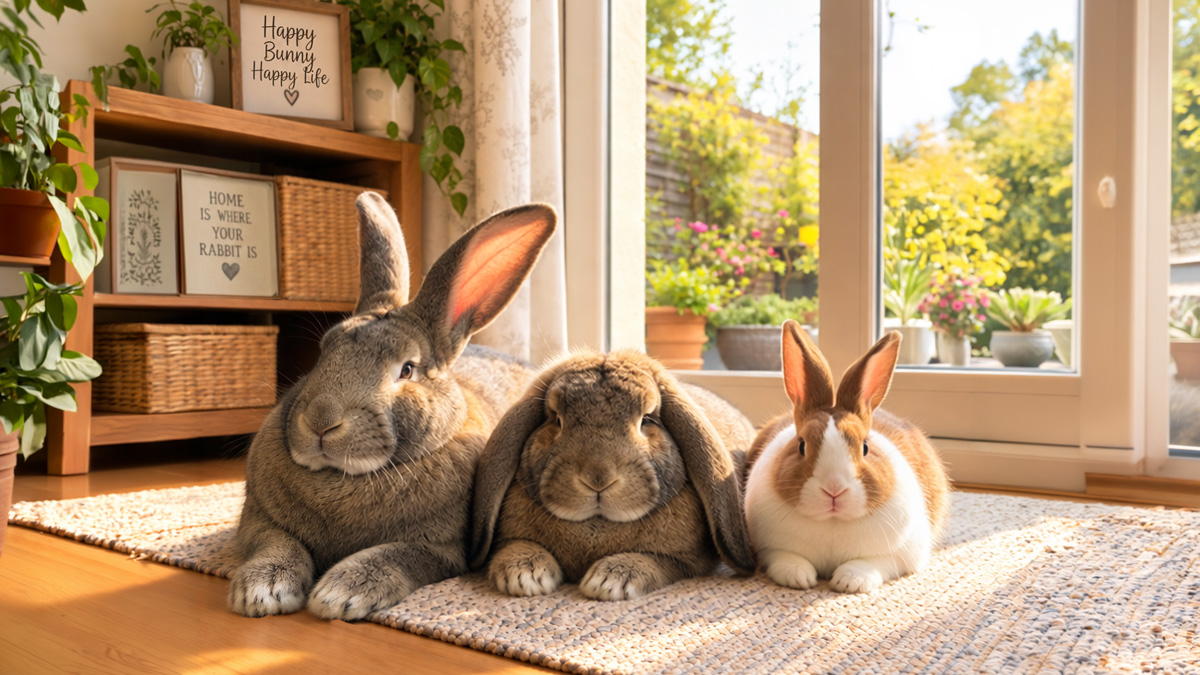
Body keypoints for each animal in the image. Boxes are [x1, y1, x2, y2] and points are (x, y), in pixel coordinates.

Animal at [227, 192, 557, 620]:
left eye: (407, 369)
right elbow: (276, 544)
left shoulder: (440, 550)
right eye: (324, 351)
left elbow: (395, 555)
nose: (320, 422)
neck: (343, 476)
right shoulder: (259, 521)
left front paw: (339, 594)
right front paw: (260, 591)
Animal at [469, 350, 758, 601]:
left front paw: (610, 582)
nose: (598, 479)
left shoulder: (684, 560)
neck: (597, 525)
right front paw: (524, 577)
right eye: (556, 419)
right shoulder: (510, 539)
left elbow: (657, 562)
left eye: (647, 419)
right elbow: (514, 546)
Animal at [743, 322, 950, 594]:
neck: (833, 522)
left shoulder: (902, 554)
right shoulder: (768, 548)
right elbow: (783, 558)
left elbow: (874, 563)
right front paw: (799, 577)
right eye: (801, 445)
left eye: (865, 447)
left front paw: (850, 581)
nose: (834, 490)